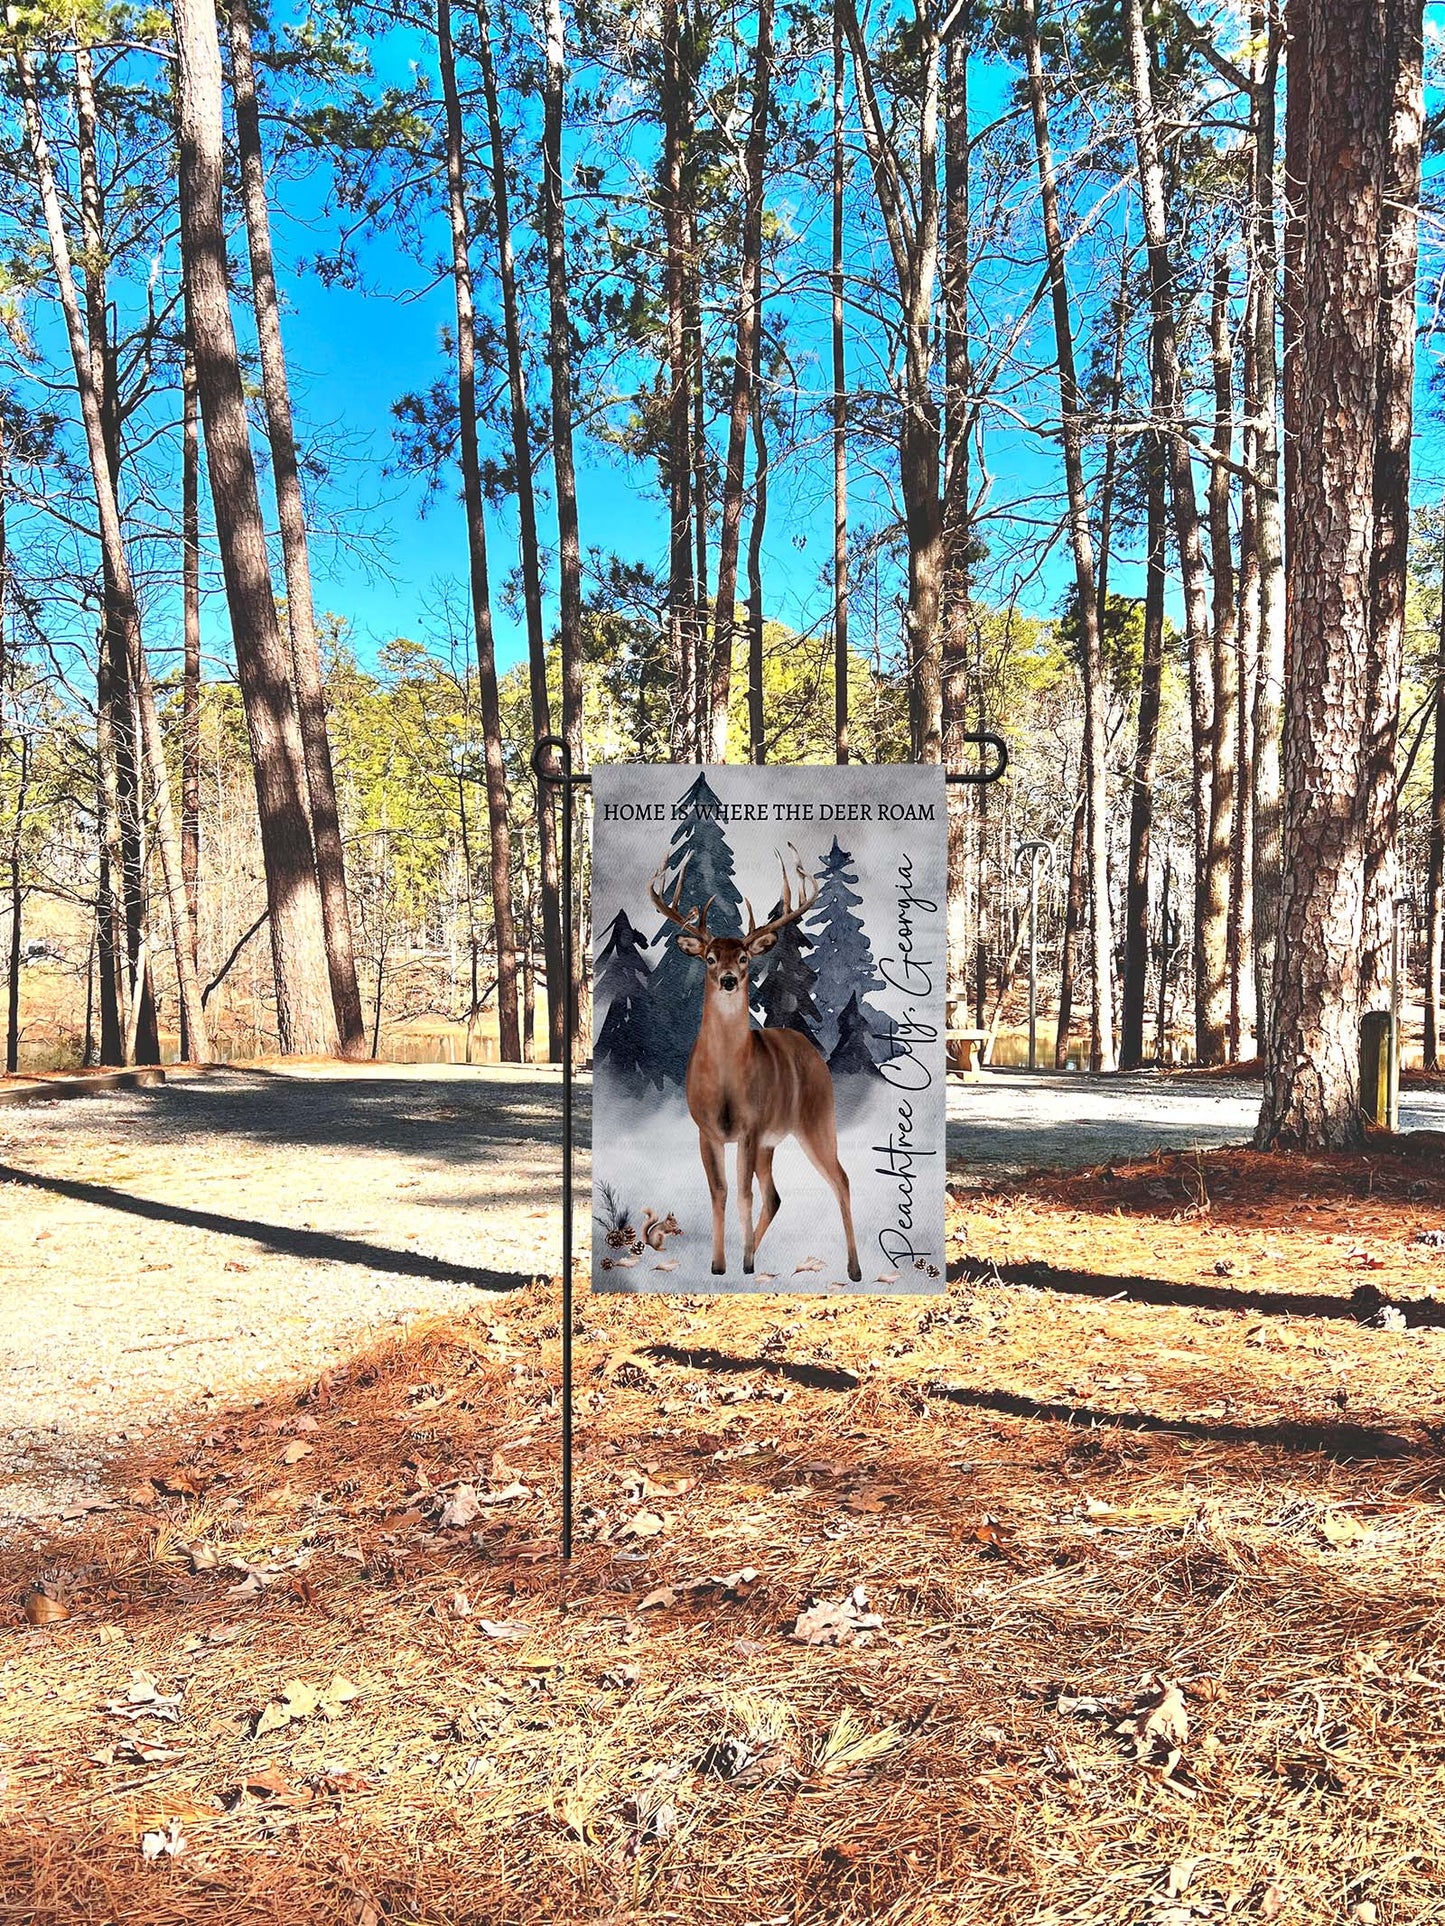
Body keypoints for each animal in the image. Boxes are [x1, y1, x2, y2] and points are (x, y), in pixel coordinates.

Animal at [649, 850, 861, 1283]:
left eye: (745, 957)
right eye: (710, 958)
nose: (729, 980)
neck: (727, 1082)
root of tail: (810, 1050)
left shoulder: (750, 1127)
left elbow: (743, 1194)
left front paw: (738, 1261)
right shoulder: (707, 1129)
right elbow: (720, 1191)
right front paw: (719, 1264)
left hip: (816, 1119)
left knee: (841, 1179)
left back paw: (852, 1268)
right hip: (771, 1141)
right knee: (775, 1195)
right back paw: (752, 1256)